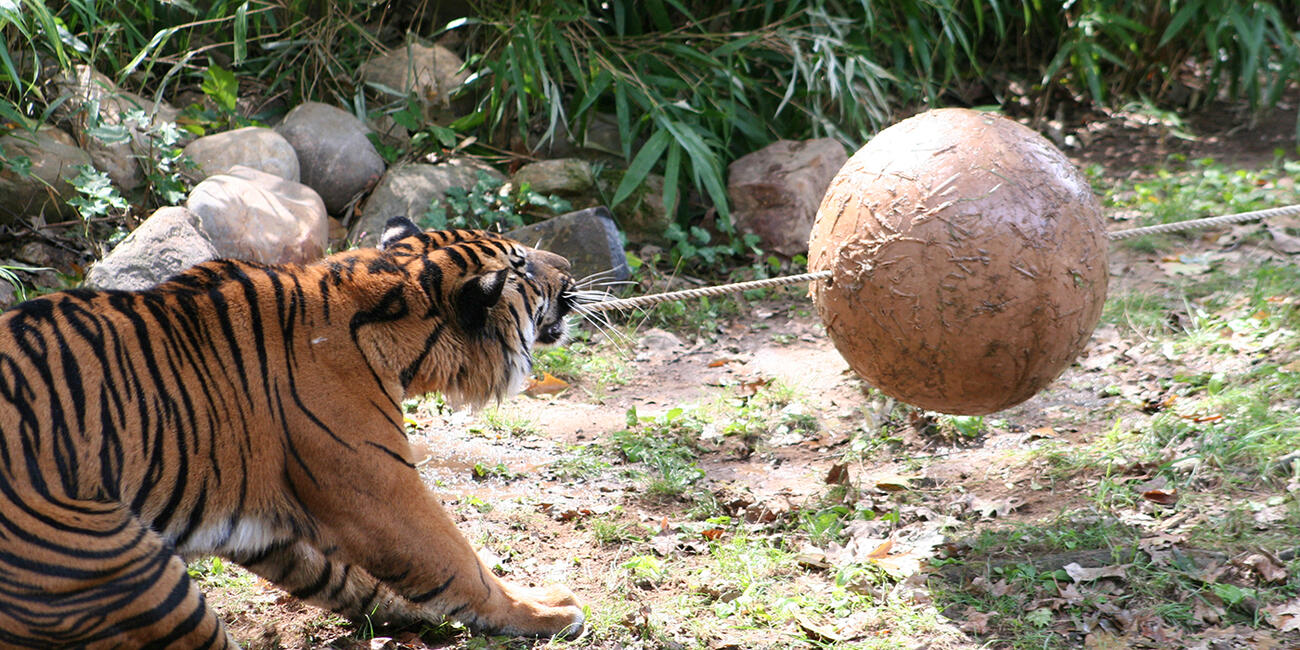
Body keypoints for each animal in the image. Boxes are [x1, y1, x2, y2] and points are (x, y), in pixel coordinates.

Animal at [0, 218, 587, 650]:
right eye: (523, 265)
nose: (570, 267)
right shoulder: (381, 493)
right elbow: (458, 563)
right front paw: (546, 611)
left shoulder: (263, 519)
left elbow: (347, 577)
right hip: (123, 568)